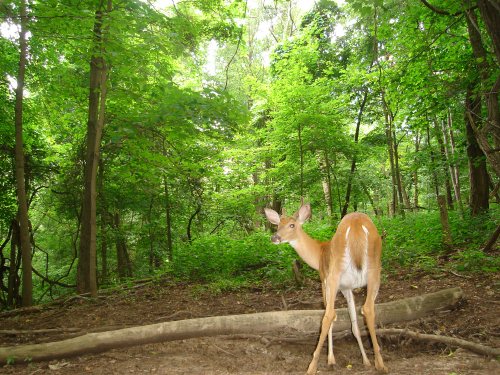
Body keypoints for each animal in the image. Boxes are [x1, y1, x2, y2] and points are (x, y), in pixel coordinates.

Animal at [266, 204, 386, 374]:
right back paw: (380, 363)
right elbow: (354, 324)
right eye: (278, 225)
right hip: (375, 271)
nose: (275, 237)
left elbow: (331, 317)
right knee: (368, 308)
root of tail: (356, 223)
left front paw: (330, 359)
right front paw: (366, 361)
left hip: (335, 273)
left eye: (292, 225)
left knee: (329, 315)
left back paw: (312, 366)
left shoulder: (324, 280)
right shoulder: (347, 287)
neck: (318, 254)